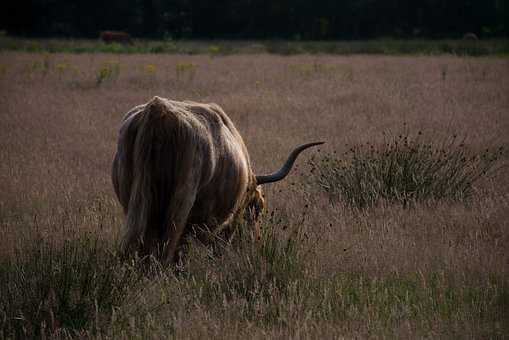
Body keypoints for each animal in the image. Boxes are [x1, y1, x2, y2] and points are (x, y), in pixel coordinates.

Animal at [113, 97, 324, 262]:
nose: (255, 241)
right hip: (182, 202)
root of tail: (158, 109)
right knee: (169, 242)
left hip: (135, 202)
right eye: (258, 208)